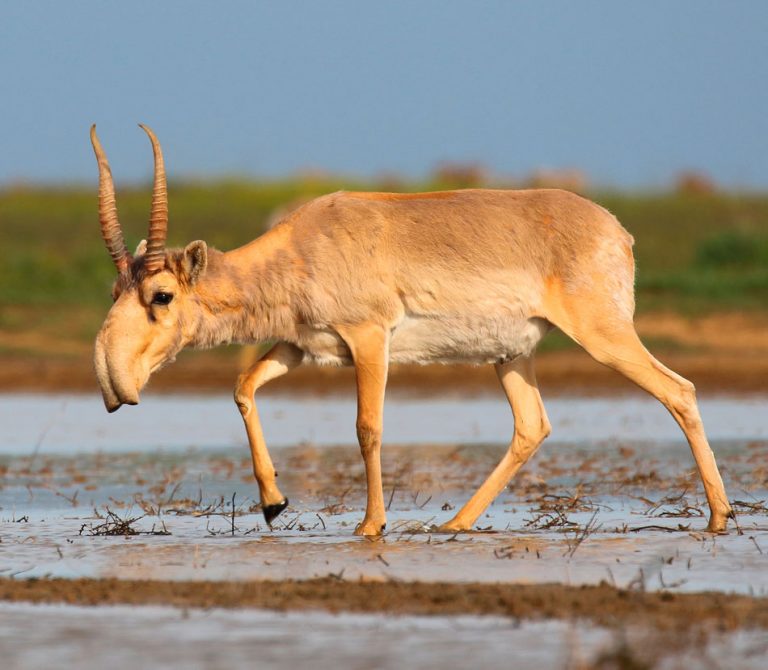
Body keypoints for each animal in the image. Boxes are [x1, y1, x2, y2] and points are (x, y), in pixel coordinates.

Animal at [90, 124, 732, 536]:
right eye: (115, 290)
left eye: (161, 295)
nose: (112, 382)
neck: (302, 245)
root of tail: (616, 230)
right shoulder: (301, 346)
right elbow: (243, 387)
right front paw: (274, 504)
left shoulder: (370, 339)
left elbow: (367, 427)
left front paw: (370, 525)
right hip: (511, 356)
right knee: (532, 426)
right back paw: (455, 523)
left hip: (604, 336)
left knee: (679, 390)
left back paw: (720, 516)